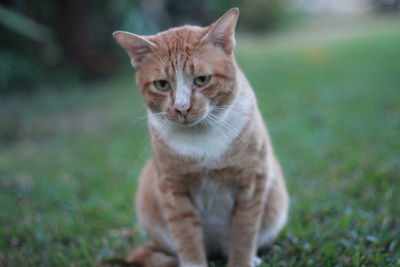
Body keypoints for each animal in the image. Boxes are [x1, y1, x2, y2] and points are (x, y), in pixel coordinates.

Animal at [114, 7, 290, 266]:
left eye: (202, 79)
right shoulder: (173, 190)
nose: (182, 108)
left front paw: (242, 260)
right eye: (162, 85)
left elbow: (243, 235)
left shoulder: (252, 182)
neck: (202, 139)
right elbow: (187, 239)